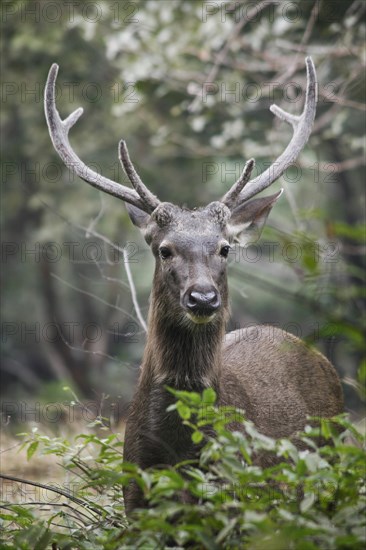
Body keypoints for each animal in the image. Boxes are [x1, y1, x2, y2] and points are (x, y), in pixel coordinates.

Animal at [44, 58, 344, 516]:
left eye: (224, 248)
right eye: (165, 249)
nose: (202, 297)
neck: (182, 451)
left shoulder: (237, 489)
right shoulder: (136, 493)